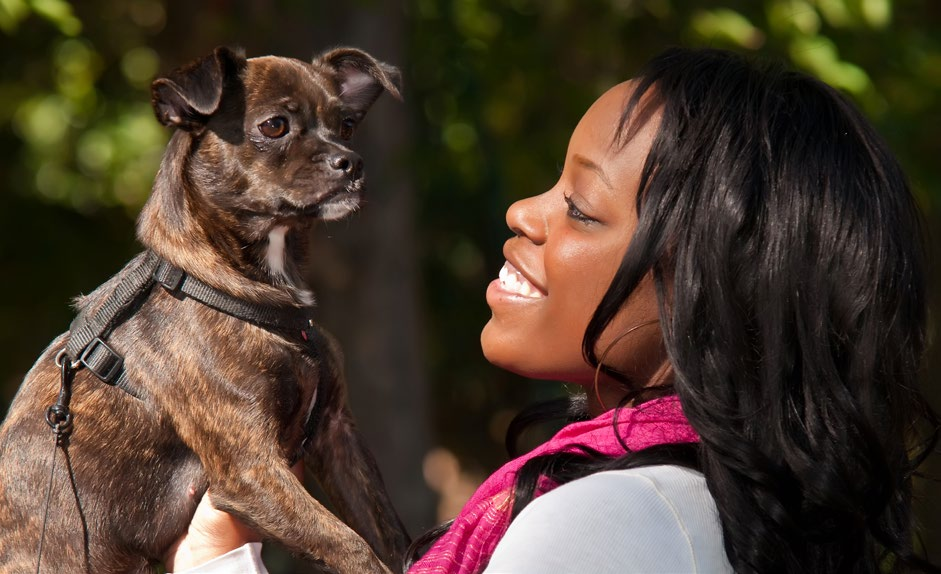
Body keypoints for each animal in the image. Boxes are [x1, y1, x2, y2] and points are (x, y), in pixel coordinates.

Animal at [0, 46, 412, 574]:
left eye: (346, 125)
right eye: (274, 126)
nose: (352, 162)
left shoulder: (337, 433)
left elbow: (390, 535)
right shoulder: (252, 472)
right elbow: (352, 546)